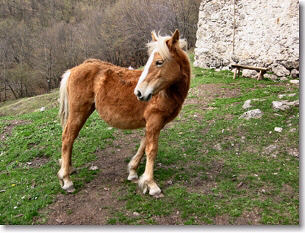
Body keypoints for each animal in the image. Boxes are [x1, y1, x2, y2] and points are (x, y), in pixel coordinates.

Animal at [57, 29, 190, 197]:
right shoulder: (154, 122)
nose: (139, 93)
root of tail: (73, 70)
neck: (165, 93)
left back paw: (68, 168)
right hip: (79, 113)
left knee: (70, 138)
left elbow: (143, 145)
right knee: (68, 138)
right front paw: (151, 185)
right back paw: (66, 180)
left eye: (159, 62)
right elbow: (151, 150)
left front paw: (133, 172)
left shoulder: (153, 124)